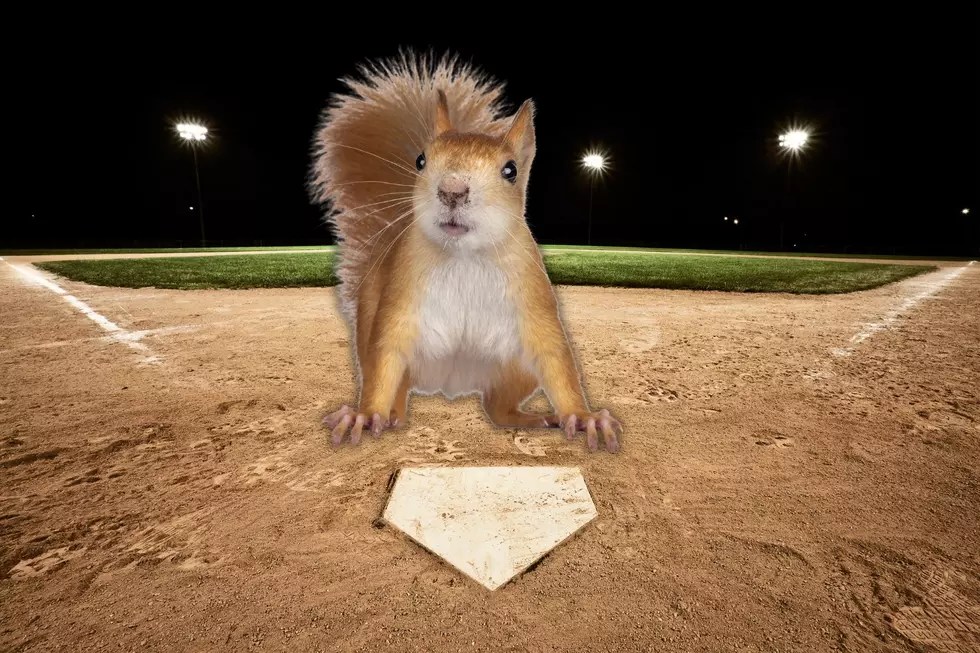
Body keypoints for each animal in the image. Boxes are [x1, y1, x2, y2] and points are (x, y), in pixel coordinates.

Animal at [310, 51, 622, 453]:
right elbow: (386, 352)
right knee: (397, 387)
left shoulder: (534, 295)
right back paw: (390, 416)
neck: (464, 256)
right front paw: (365, 414)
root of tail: (452, 384)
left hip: (514, 368)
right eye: (421, 161)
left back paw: (532, 418)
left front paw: (583, 417)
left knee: (497, 407)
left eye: (510, 170)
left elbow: (556, 357)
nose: (452, 189)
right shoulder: (400, 296)